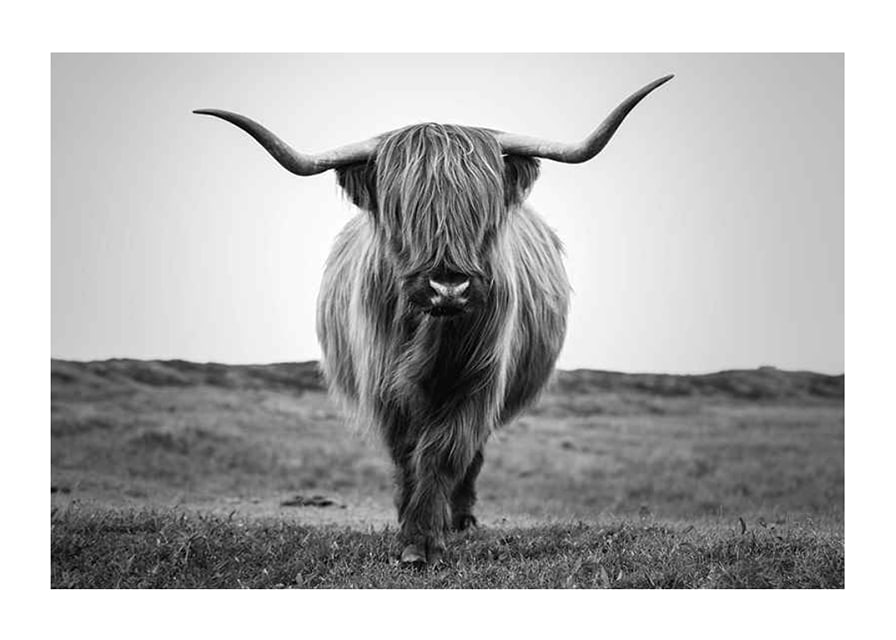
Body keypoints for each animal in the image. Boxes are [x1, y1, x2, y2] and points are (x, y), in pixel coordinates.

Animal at [194, 74, 672, 564]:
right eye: (402, 212)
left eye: (482, 210)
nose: (448, 288)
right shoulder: (384, 386)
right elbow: (407, 453)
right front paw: (410, 531)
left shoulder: (477, 381)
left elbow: (444, 451)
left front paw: (425, 538)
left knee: (471, 456)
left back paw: (459, 518)